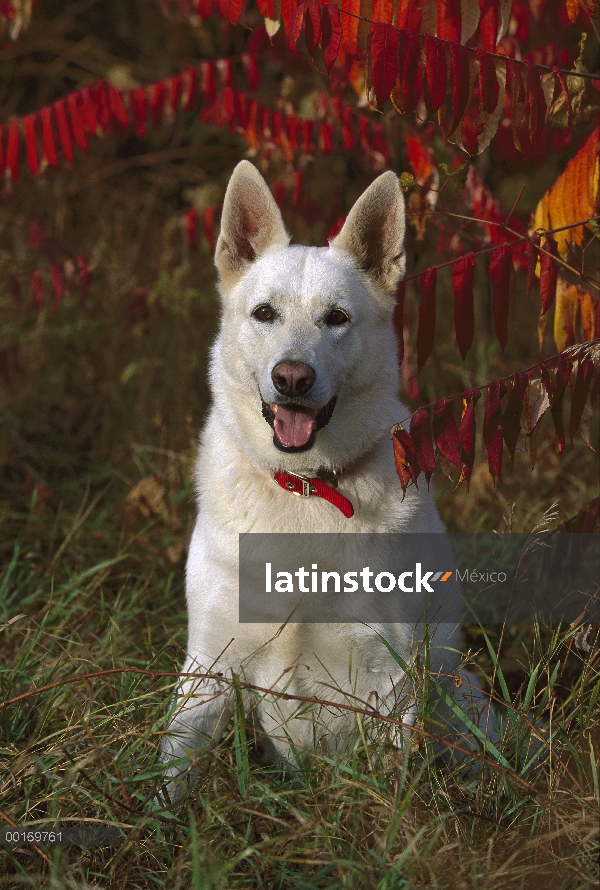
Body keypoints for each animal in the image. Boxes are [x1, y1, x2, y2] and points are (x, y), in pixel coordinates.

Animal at [159, 161, 478, 796]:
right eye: (264, 313)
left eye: (337, 318)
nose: (292, 378)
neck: (305, 485)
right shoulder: (209, 664)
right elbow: (172, 774)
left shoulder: (390, 676)